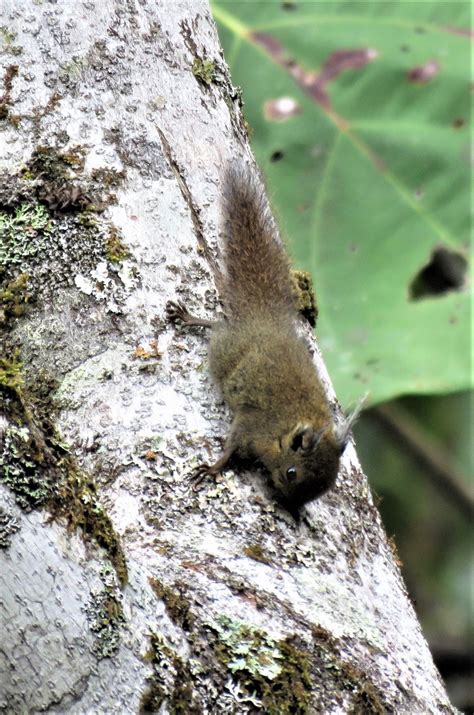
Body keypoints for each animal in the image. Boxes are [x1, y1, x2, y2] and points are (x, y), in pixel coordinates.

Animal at [167, 165, 362, 512]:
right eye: (291, 472)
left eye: (323, 489)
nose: (291, 508)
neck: (288, 428)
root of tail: (266, 318)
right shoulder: (252, 425)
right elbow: (231, 448)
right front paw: (213, 468)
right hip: (227, 347)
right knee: (217, 326)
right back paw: (189, 318)